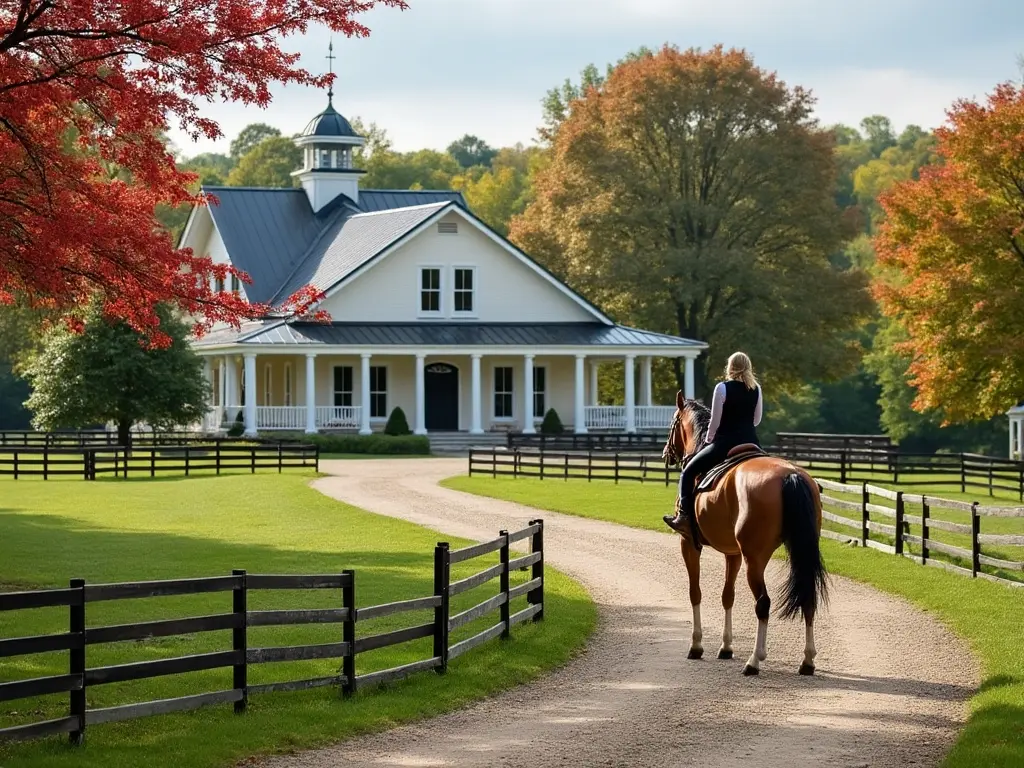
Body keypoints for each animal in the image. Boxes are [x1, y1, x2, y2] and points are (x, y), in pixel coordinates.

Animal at [667, 393, 827, 675]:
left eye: (673, 423)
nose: (666, 453)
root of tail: (791, 474)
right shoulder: (733, 553)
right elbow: (727, 596)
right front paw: (726, 647)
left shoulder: (689, 543)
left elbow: (695, 592)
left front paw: (696, 646)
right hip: (801, 551)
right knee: (807, 598)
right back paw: (807, 661)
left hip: (755, 559)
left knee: (763, 603)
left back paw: (754, 661)